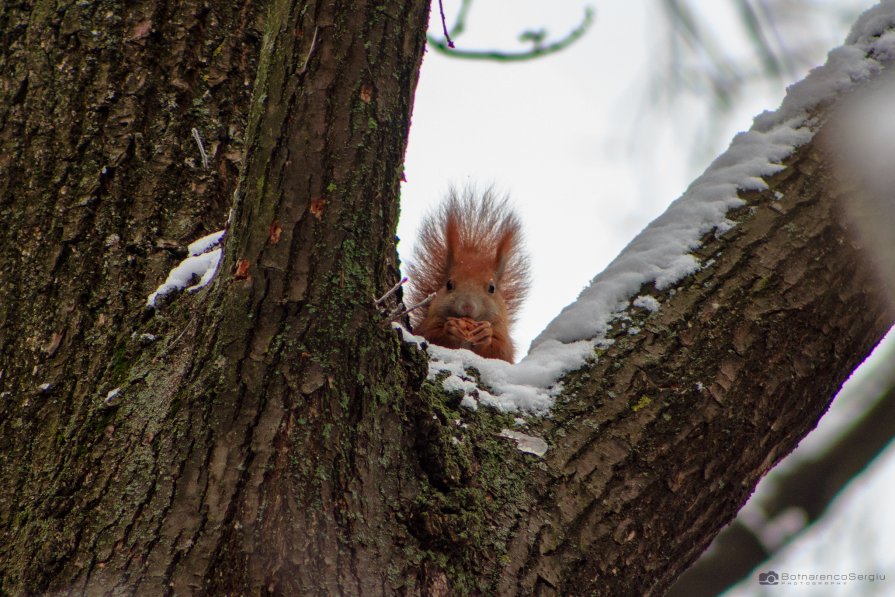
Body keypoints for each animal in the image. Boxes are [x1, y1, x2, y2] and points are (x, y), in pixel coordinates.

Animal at [408, 189, 528, 360]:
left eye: (492, 288)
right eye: (449, 284)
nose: (467, 306)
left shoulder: (502, 336)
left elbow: (500, 351)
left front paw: (485, 333)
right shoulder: (427, 326)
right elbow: (430, 335)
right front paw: (451, 328)